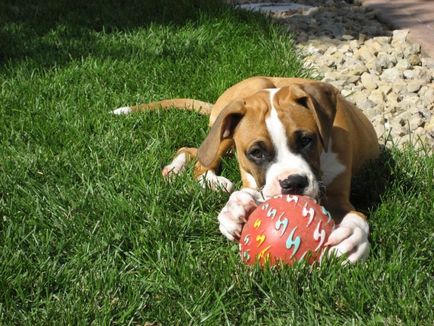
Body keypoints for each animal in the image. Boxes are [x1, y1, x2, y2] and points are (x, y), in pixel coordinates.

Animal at [113, 76, 378, 262]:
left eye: (306, 140)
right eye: (256, 153)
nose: (293, 183)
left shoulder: (337, 196)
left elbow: (354, 214)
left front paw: (353, 238)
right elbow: (248, 191)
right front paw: (234, 210)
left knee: (194, 150)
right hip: (228, 125)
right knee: (202, 156)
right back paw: (206, 179)